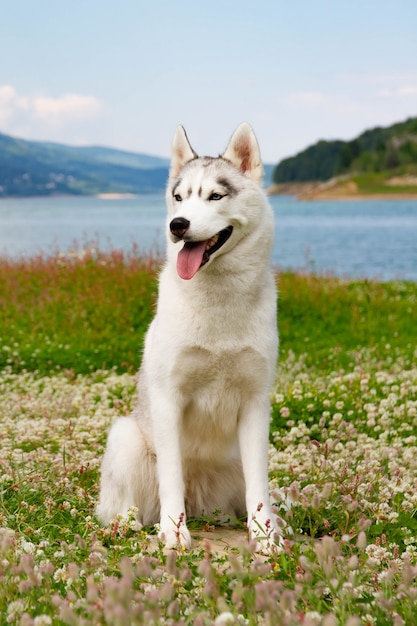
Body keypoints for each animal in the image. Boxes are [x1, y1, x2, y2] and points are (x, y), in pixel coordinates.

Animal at [96, 124, 282, 548]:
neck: (220, 303)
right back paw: (130, 523)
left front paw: (265, 538)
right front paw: (173, 531)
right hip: (125, 437)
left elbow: (259, 488)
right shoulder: (169, 398)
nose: (177, 225)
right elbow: (171, 478)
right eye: (178, 197)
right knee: (125, 505)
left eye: (215, 196)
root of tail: (202, 505)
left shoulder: (255, 405)